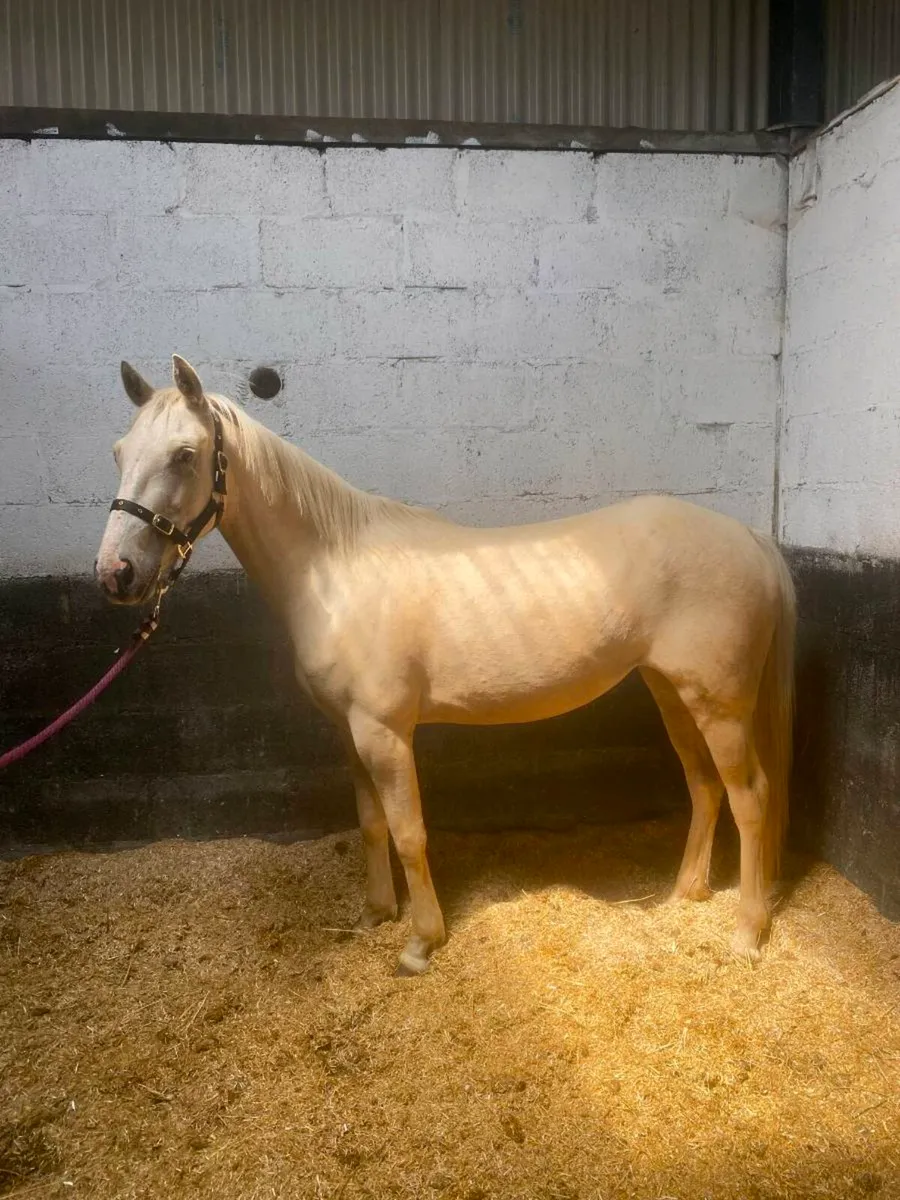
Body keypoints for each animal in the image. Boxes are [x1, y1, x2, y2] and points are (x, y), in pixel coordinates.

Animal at [96, 355, 796, 975]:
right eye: (119, 451)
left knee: (752, 798)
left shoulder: (384, 734)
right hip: (672, 692)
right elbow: (371, 824)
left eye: (185, 455)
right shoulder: (349, 733)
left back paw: (747, 934)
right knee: (705, 787)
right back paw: (685, 895)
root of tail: (752, 539)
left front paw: (421, 942)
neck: (334, 569)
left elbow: (410, 832)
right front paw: (376, 913)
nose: (116, 573)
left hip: (719, 706)